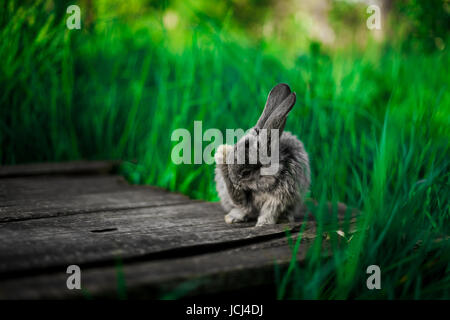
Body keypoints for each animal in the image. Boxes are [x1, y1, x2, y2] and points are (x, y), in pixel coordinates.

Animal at [214, 83, 310, 228]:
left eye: (246, 173)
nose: (235, 182)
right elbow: (243, 207)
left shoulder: (279, 199)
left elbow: (269, 211)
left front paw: (262, 224)